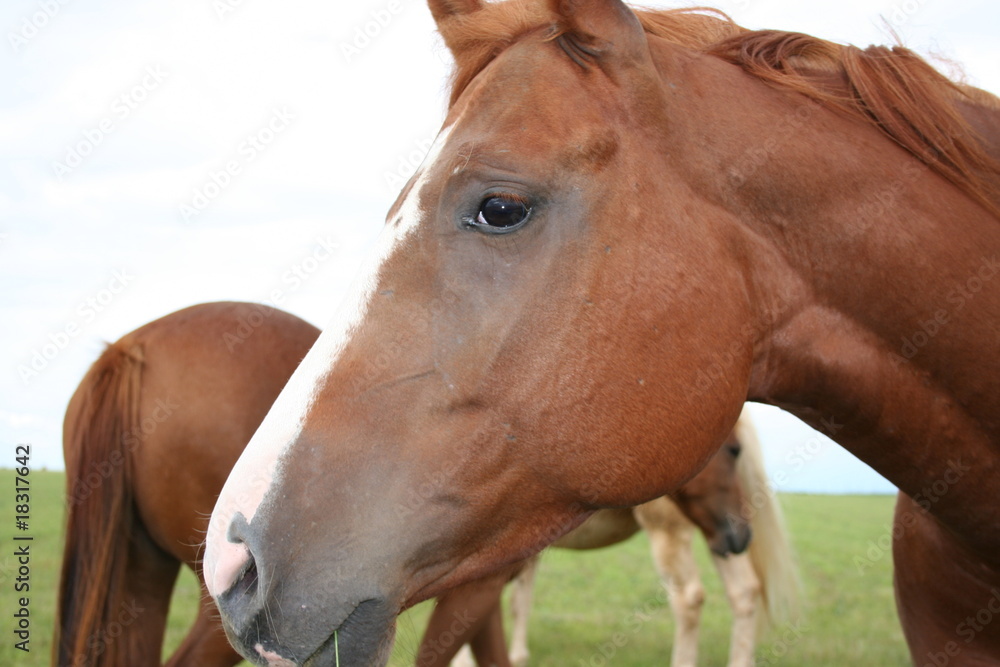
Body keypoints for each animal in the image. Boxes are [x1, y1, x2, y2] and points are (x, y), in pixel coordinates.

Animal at [433, 409, 799, 667]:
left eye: (737, 451)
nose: (743, 534)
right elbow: (516, 603)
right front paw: (518, 656)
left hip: (671, 533)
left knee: (689, 599)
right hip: (716, 538)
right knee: (744, 591)